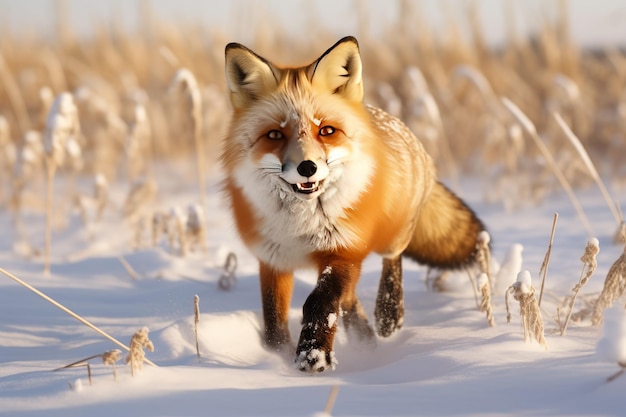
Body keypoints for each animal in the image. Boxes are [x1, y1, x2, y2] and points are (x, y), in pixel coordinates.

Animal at [222, 37, 486, 372]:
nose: (307, 168)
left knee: (391, 260)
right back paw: (366, 339)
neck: (301, 223)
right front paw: (281, 355)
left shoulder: (344, 247)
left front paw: (313, 354)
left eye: (326, 130)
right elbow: (273, 323)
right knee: (349, 300)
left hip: (390, 237)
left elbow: (320, 300)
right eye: (274, 134)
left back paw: (388, 314)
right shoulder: (274, 258)